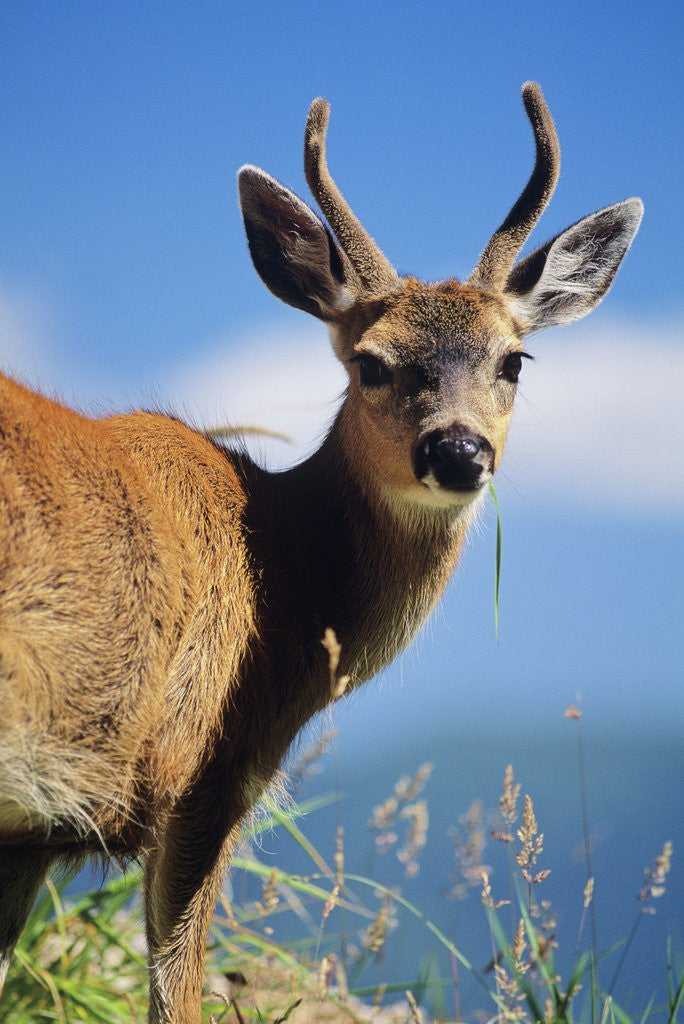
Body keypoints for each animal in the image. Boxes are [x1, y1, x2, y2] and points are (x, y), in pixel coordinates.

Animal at [0, 83, 643, 1019]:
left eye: (515, 360)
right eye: (371, 363)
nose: (459, 451)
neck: (288, 582)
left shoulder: (33, 833)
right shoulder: (204, 774)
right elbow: (176, 994)